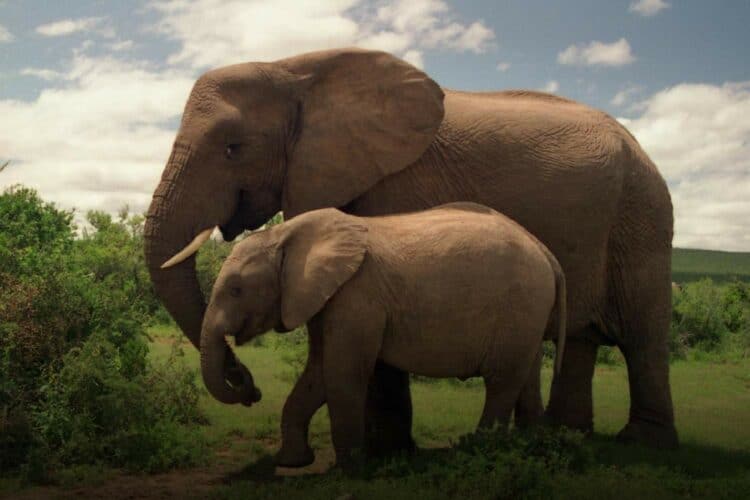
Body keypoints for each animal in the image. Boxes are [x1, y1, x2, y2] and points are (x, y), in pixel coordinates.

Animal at [199, 203, 568, 466]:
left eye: (235, 290)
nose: (252, 391)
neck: (285, 234)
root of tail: (547, 253)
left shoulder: (356, 297)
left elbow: (342, 372)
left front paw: (349, 469)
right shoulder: (328, 300)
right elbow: (318, 372)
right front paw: (292, 462)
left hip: (520, 305)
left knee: (501, 381)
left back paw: (477, 449)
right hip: (529, 313)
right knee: (526, 376)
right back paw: (530, 447)